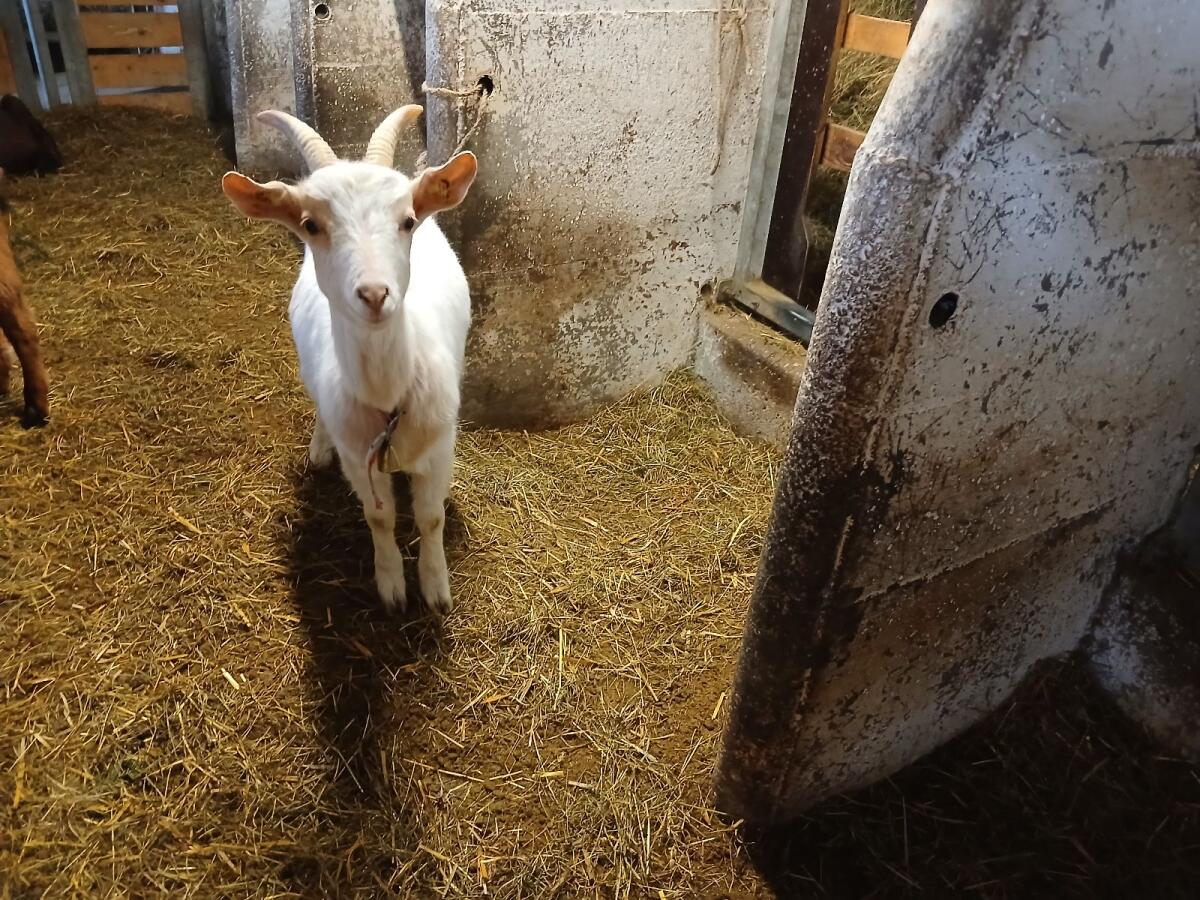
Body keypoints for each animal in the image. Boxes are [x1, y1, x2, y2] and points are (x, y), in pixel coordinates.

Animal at [221, 107, 477, 614]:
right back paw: (320, 449)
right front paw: (392, 586)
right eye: (310, 225)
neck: (388, 396)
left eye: (408, 220)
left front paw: (436, 589)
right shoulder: (360, 460)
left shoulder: (439, 448)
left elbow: (431, 518)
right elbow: (379, 519)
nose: (375, 294)